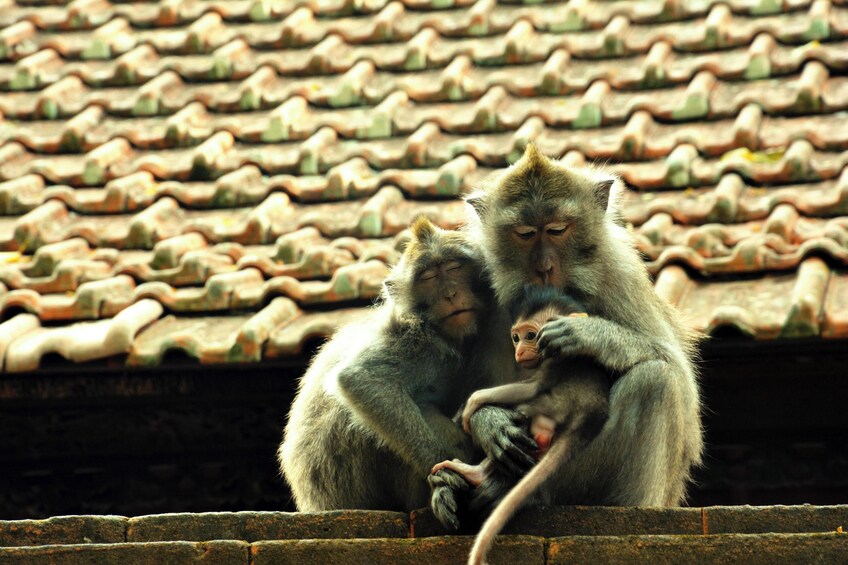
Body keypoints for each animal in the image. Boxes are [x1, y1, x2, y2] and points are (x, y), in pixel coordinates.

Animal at [278, 215, 520, 520]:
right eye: (428, 277)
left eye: (454, 267)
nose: (451, 294)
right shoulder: (414, 338)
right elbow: (361, 379)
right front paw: (445, 474)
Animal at [430, 142, 704, 528]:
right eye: (525, 233)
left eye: (558, 230)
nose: (544, 267)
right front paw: (490, 423)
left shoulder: (618, 274)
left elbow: (678, 376)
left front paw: (590, 334)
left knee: (656, 380)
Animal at [430, 286, 608, 564]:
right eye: (516, 337)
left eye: (531, 336)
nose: (520, 350)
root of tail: (589, 417)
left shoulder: (555, 356)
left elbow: (532, 386)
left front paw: (472, 403)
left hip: (554, 404)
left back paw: (474, 472)